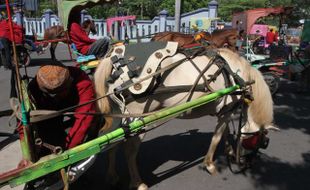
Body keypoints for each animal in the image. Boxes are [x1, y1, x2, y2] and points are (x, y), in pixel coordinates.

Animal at [93, 46, 274, 189]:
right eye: (261, 140)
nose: (249, 161)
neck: (236, 72)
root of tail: (113, 59)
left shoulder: (225, 111)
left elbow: (225, 132)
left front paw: (229, 150)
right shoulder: (227, 110)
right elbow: (216, 137)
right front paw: (210, 164)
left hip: (122, 119)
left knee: (114, 144)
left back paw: (112, 176)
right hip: (137, 120)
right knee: (129, 152)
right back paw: (138, 183)